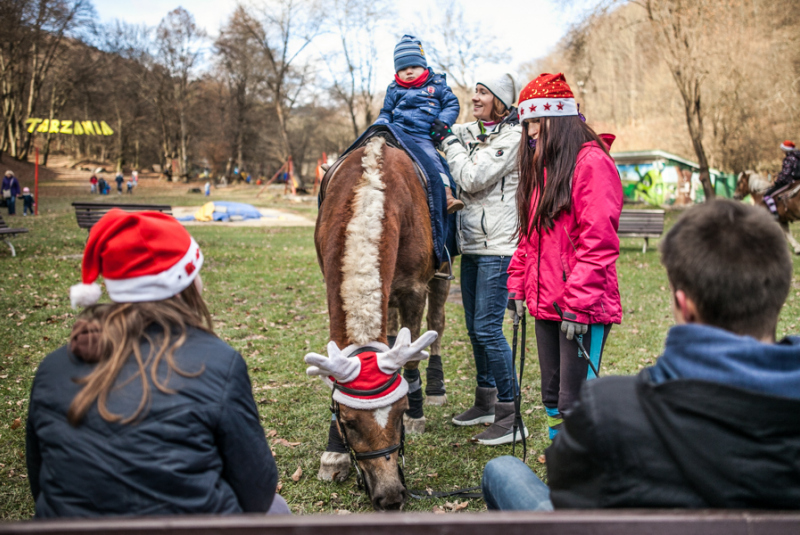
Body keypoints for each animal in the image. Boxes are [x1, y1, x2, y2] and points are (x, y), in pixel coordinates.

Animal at [312, 136, 446, 508]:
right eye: (347, 422)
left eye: (400, 411)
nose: (390, 496)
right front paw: (334, 454)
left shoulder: (414, 289)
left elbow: (413, 356)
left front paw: (417, 413)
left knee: (437, 322)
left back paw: (435, 389)